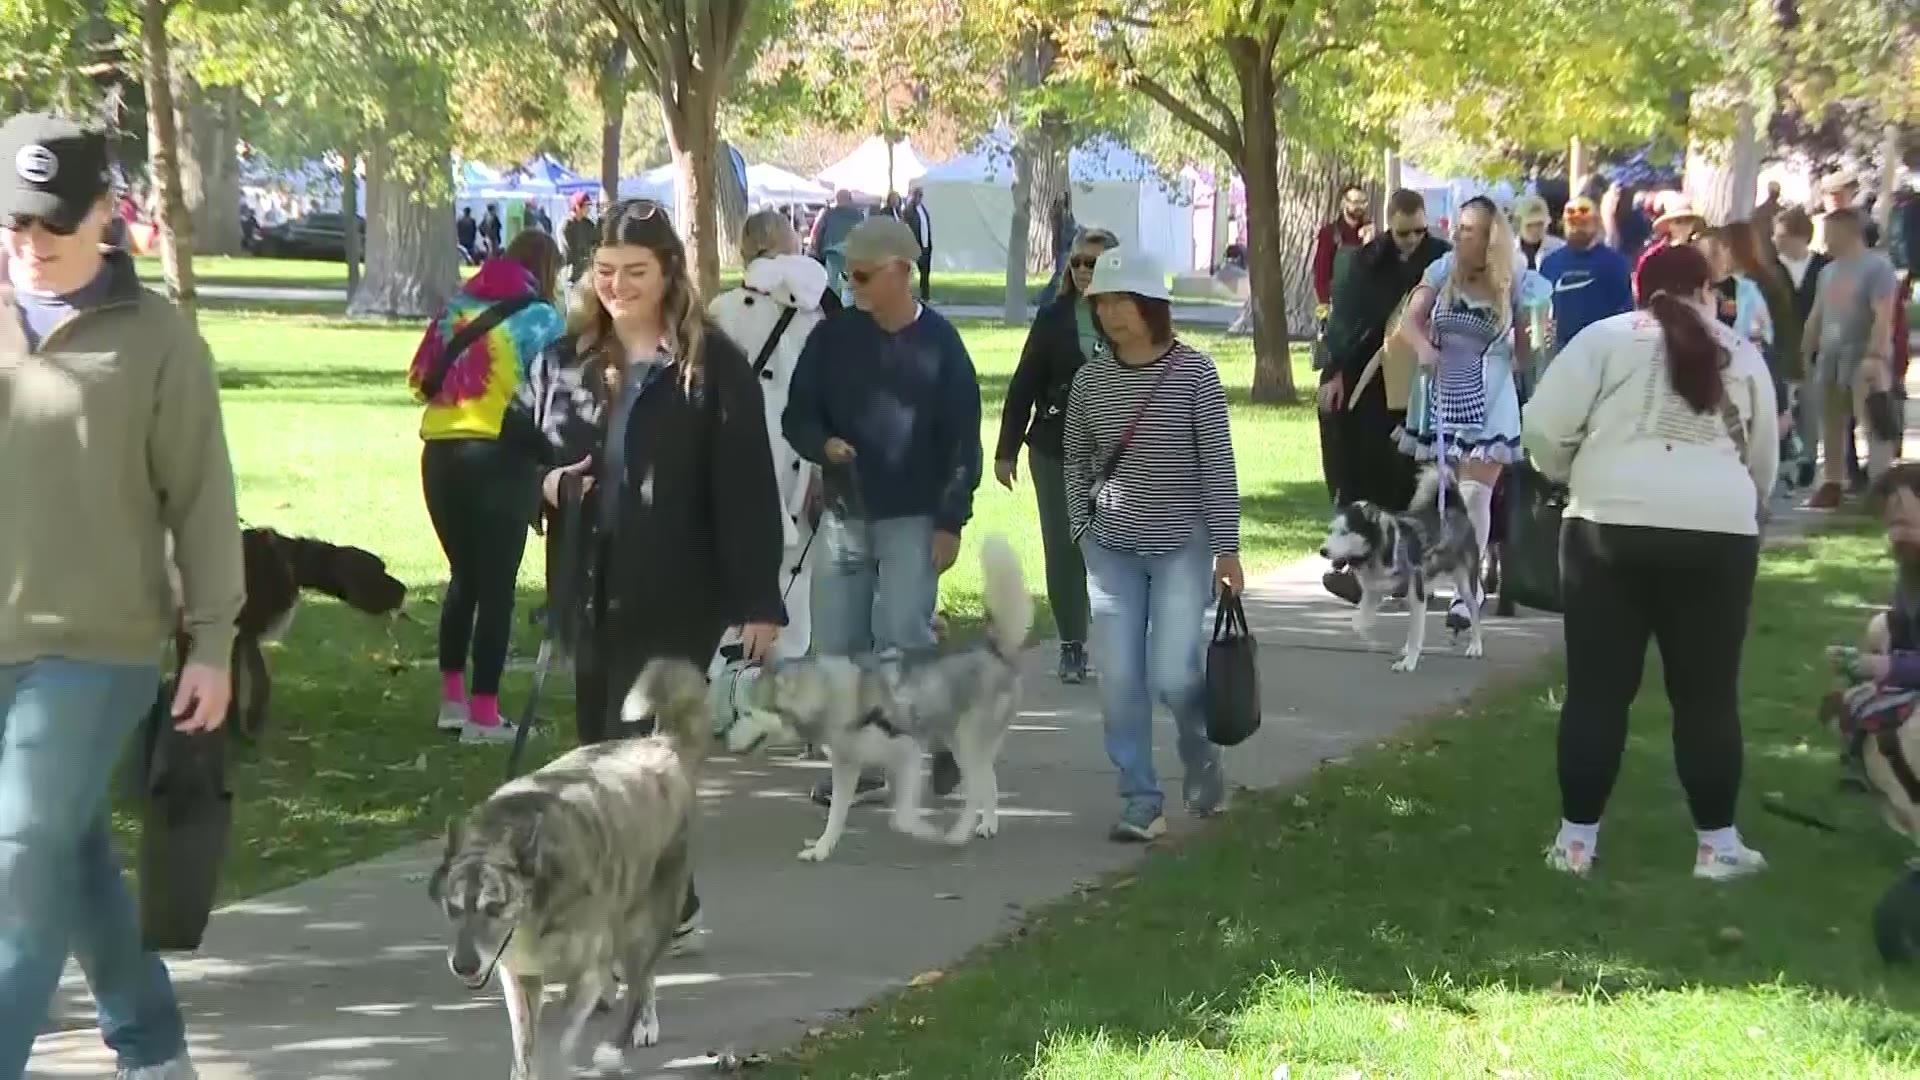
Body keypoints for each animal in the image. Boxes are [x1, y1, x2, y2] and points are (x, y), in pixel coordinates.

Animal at [428, 653, 714, 1068]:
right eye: (452, 909)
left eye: (495, 907)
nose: (464, 966)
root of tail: (661, 743)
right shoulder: (518, 978)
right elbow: (525, 1050)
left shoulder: (583, 978)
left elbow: (558, 1044)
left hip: (648, 915)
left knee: (643, 976)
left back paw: (638, 1025)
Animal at [1320, 465, 1482, 668]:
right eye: (1331, 530)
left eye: (1345, 532)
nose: (1322, 551)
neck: (1381, 550)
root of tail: (1456, 509)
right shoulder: (1372, 594)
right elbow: (1358, 623)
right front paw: (1373, 642)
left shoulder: (1417, 597)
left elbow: (1415, 634)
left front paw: (1409, 662)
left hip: (1464, 584)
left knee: (1474, 611)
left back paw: (1475, 646)